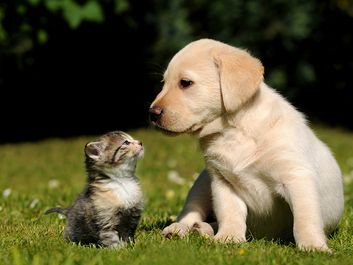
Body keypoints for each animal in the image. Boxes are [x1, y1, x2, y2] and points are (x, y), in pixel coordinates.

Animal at [149, 38, 344, 251]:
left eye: (185, 83)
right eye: (163, 83)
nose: (152, 114)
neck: (233, 131)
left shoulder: (296, 176)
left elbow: (304, 218)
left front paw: (313, 246)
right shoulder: (222, 181)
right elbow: (230, 213)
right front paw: (228, 237)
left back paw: (201, 229)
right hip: (202, 182)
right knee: (191, 211)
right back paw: (182, 229)